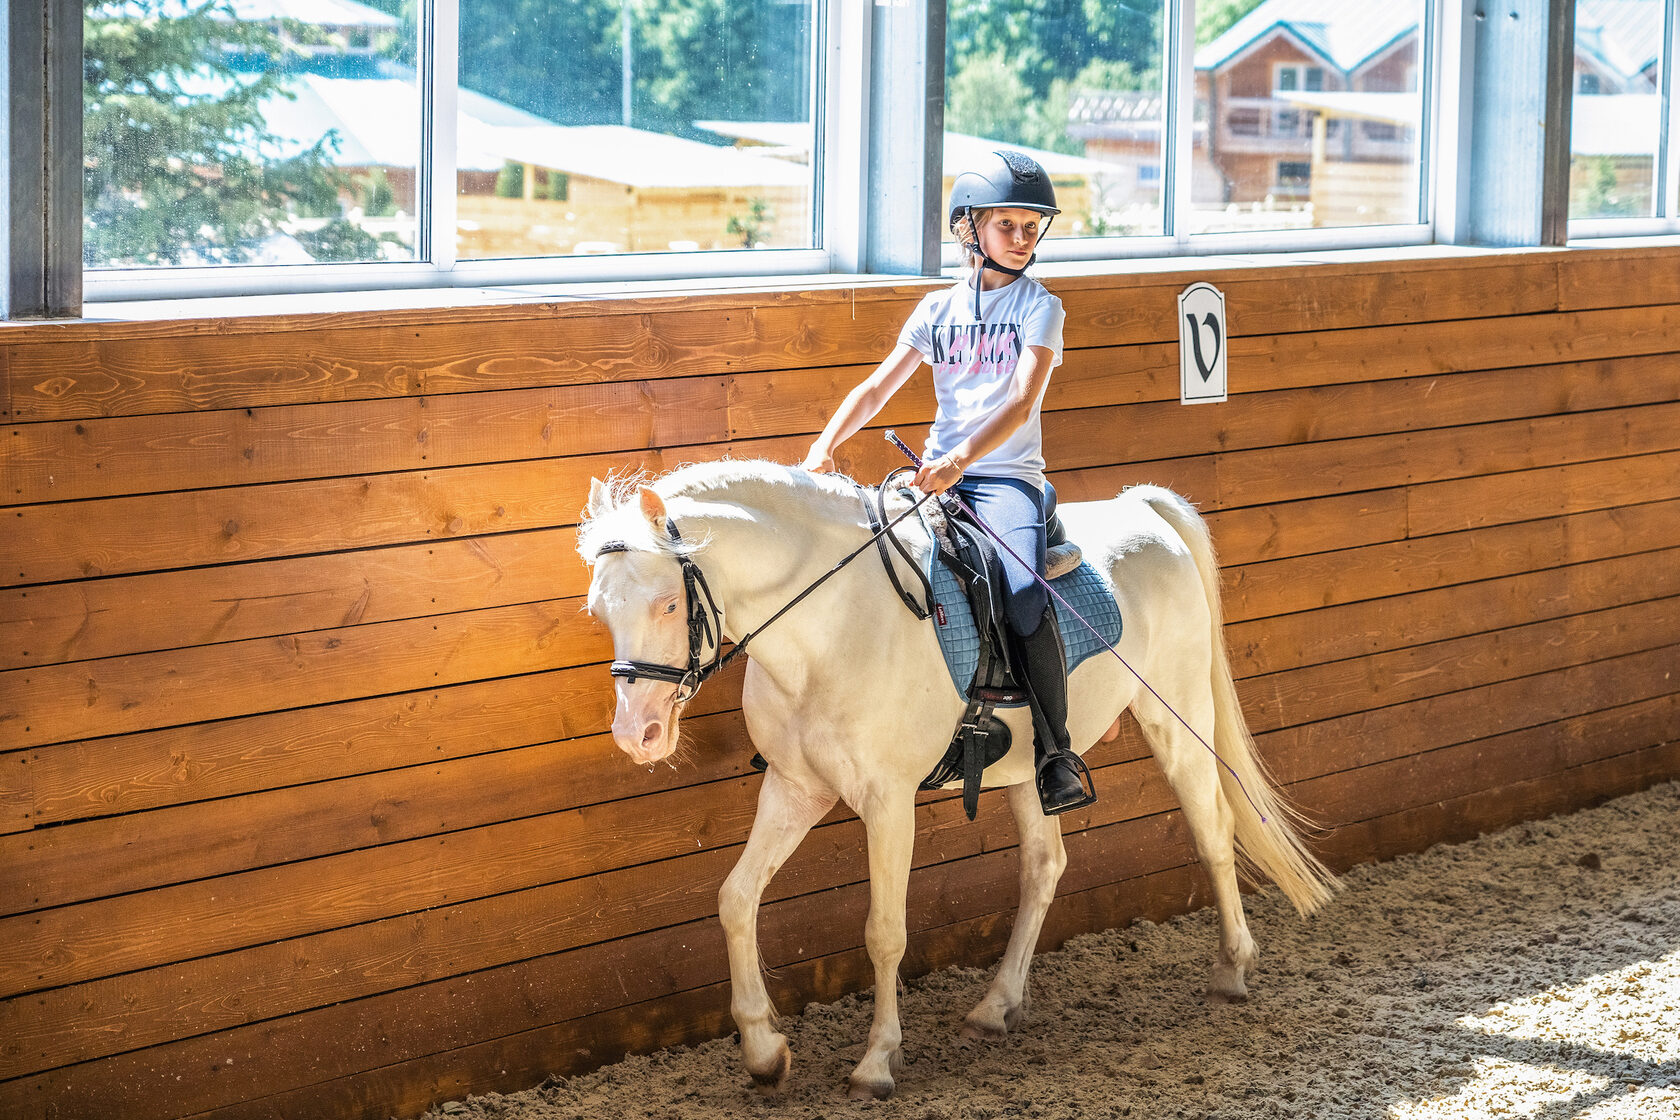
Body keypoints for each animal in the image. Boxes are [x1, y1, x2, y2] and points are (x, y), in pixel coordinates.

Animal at [581, 460, 1337, 1101]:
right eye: (600, 611)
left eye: (667, 606)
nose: (638, 735)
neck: (832, 626)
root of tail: (1140, 510)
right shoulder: (795, 789)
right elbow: (736, 900)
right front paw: (765, 1052)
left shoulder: (888, 804)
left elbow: (884, 932)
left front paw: (876, 1062)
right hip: (1036, 769)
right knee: (1045, 865)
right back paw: (996, 1007)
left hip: (1176, 718)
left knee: (1212, 829)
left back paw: (1232, 970)